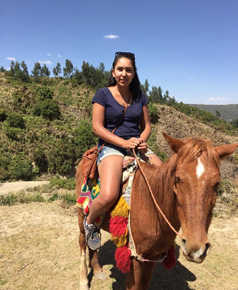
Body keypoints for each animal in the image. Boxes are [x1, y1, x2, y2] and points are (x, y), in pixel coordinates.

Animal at [75, 133, 237, 288]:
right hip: (82, 214)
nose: (196, 248)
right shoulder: (137, 257)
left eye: (217, 183)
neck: (152, 207)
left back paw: (97, 269)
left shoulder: (152, 256)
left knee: (93, 241)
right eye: (178, 178)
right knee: (83, 240)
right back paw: (83, 281)